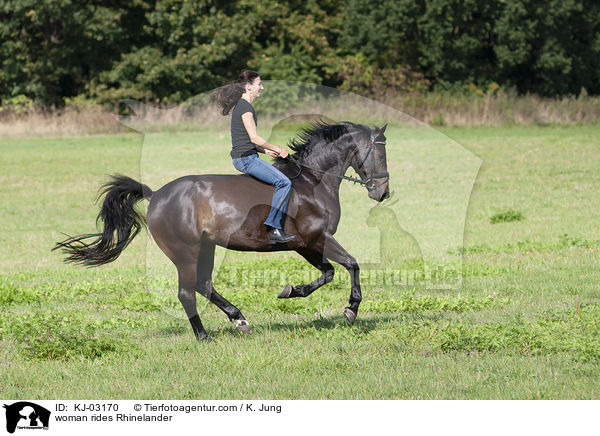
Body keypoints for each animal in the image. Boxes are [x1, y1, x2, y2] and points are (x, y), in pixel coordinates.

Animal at [55, 122, 390, 340]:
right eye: (380, 153)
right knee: (187, 292)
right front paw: (351, 309)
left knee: (204, 285)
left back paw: (239, 319)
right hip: (185, 252)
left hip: (207, 247)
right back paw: (204, 336)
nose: (383, 193)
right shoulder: (316, 238)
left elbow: (329, 272)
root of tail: (156, 194)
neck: (311, 182)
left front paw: (292, 291)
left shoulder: (305, 244)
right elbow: (351, 265)